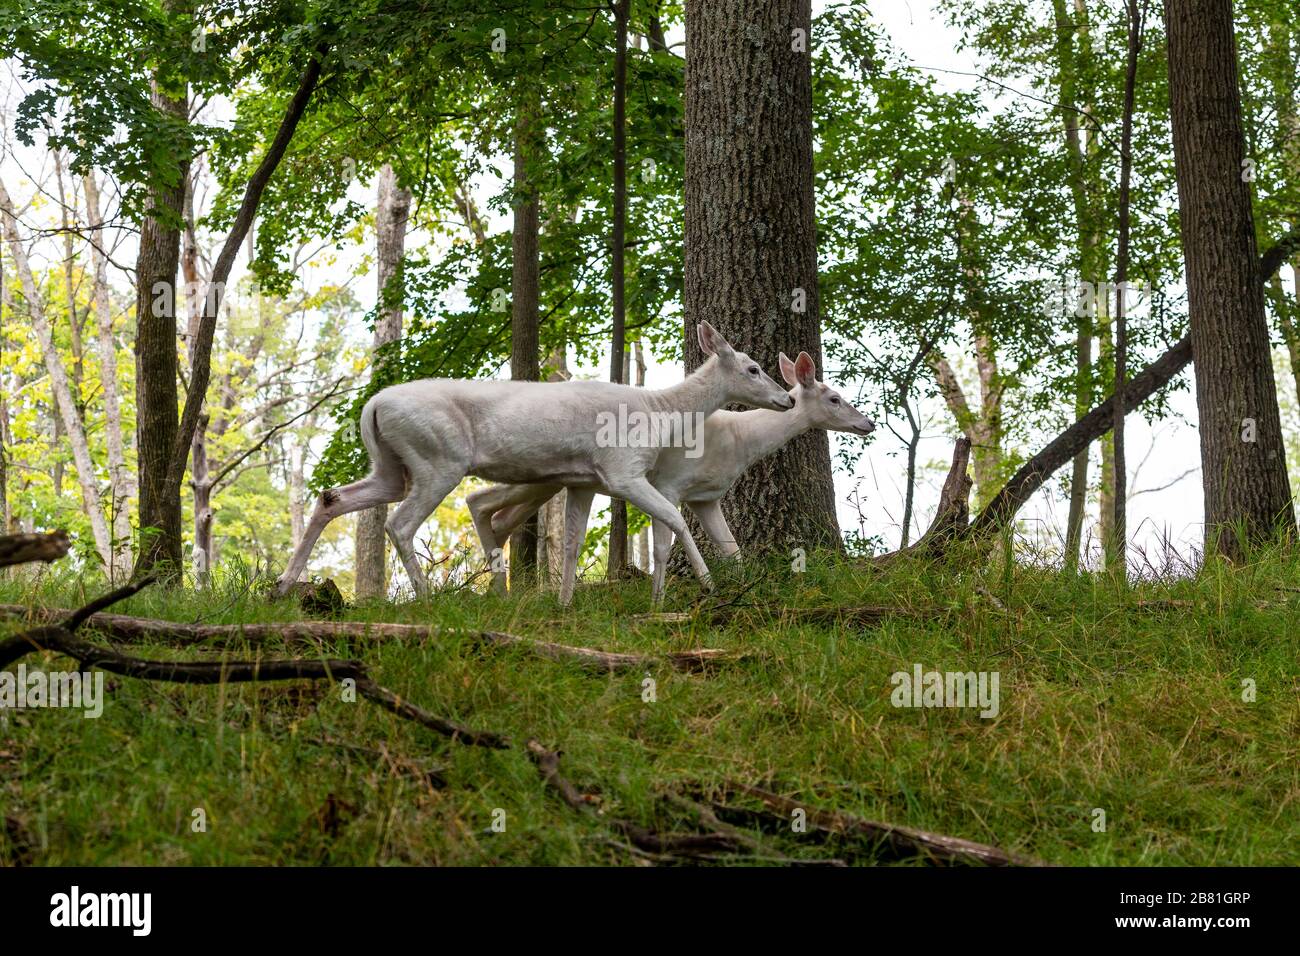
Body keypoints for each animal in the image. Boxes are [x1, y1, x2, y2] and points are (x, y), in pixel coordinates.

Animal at [271, 321, 790, 598]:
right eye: (753, 368)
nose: (785, 398)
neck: (658, 412)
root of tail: (372, 406)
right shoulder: (621, 468)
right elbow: (676, 519)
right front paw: (706, 586)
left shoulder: (584, 478)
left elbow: (574, 541)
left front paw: (566, 603)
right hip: (437, 459)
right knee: (399, 523)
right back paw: (426, 597)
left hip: (390, 465)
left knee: (333, 498)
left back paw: (284, 583)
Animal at [467, 351, 873, 606]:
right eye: (835, 398)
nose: (868, 423)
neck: (740, 440)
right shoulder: (671, 483)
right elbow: (666, 542)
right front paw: (660, 601)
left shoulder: (706, 497)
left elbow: (732, 548)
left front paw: (746, 589)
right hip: (540, 472)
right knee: (479, 500)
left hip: (552, 477)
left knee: (494, 512)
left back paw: (494, 589)